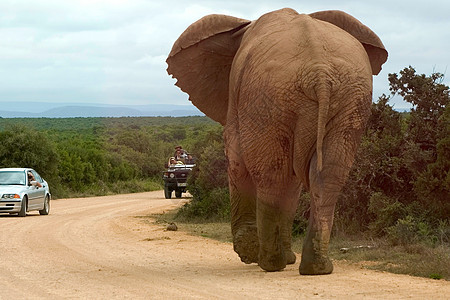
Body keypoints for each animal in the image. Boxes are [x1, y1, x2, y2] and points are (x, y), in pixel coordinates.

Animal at [165, 7, 386, 274]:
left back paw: (269, 262)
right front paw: (287, 257)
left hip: (271, 96)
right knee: (325, 176)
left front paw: (248, 253)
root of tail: (319, 73)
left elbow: (237, 159)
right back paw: (316, 267)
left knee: (274, 175)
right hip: (343, 98)